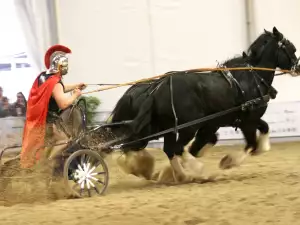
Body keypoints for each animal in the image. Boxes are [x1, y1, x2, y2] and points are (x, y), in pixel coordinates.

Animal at [105, 27, 298, 183]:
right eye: (292, 48)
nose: (298, 67)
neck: (251, 78)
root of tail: (159, 87)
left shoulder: (228, 121)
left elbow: (262, 130)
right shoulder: (247, 121)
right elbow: (251, 144)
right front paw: (228, 162)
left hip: (168, 128)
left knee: (166, 149)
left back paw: (179, 175)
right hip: (185, 127)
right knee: (172, 148)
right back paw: (197, 171)